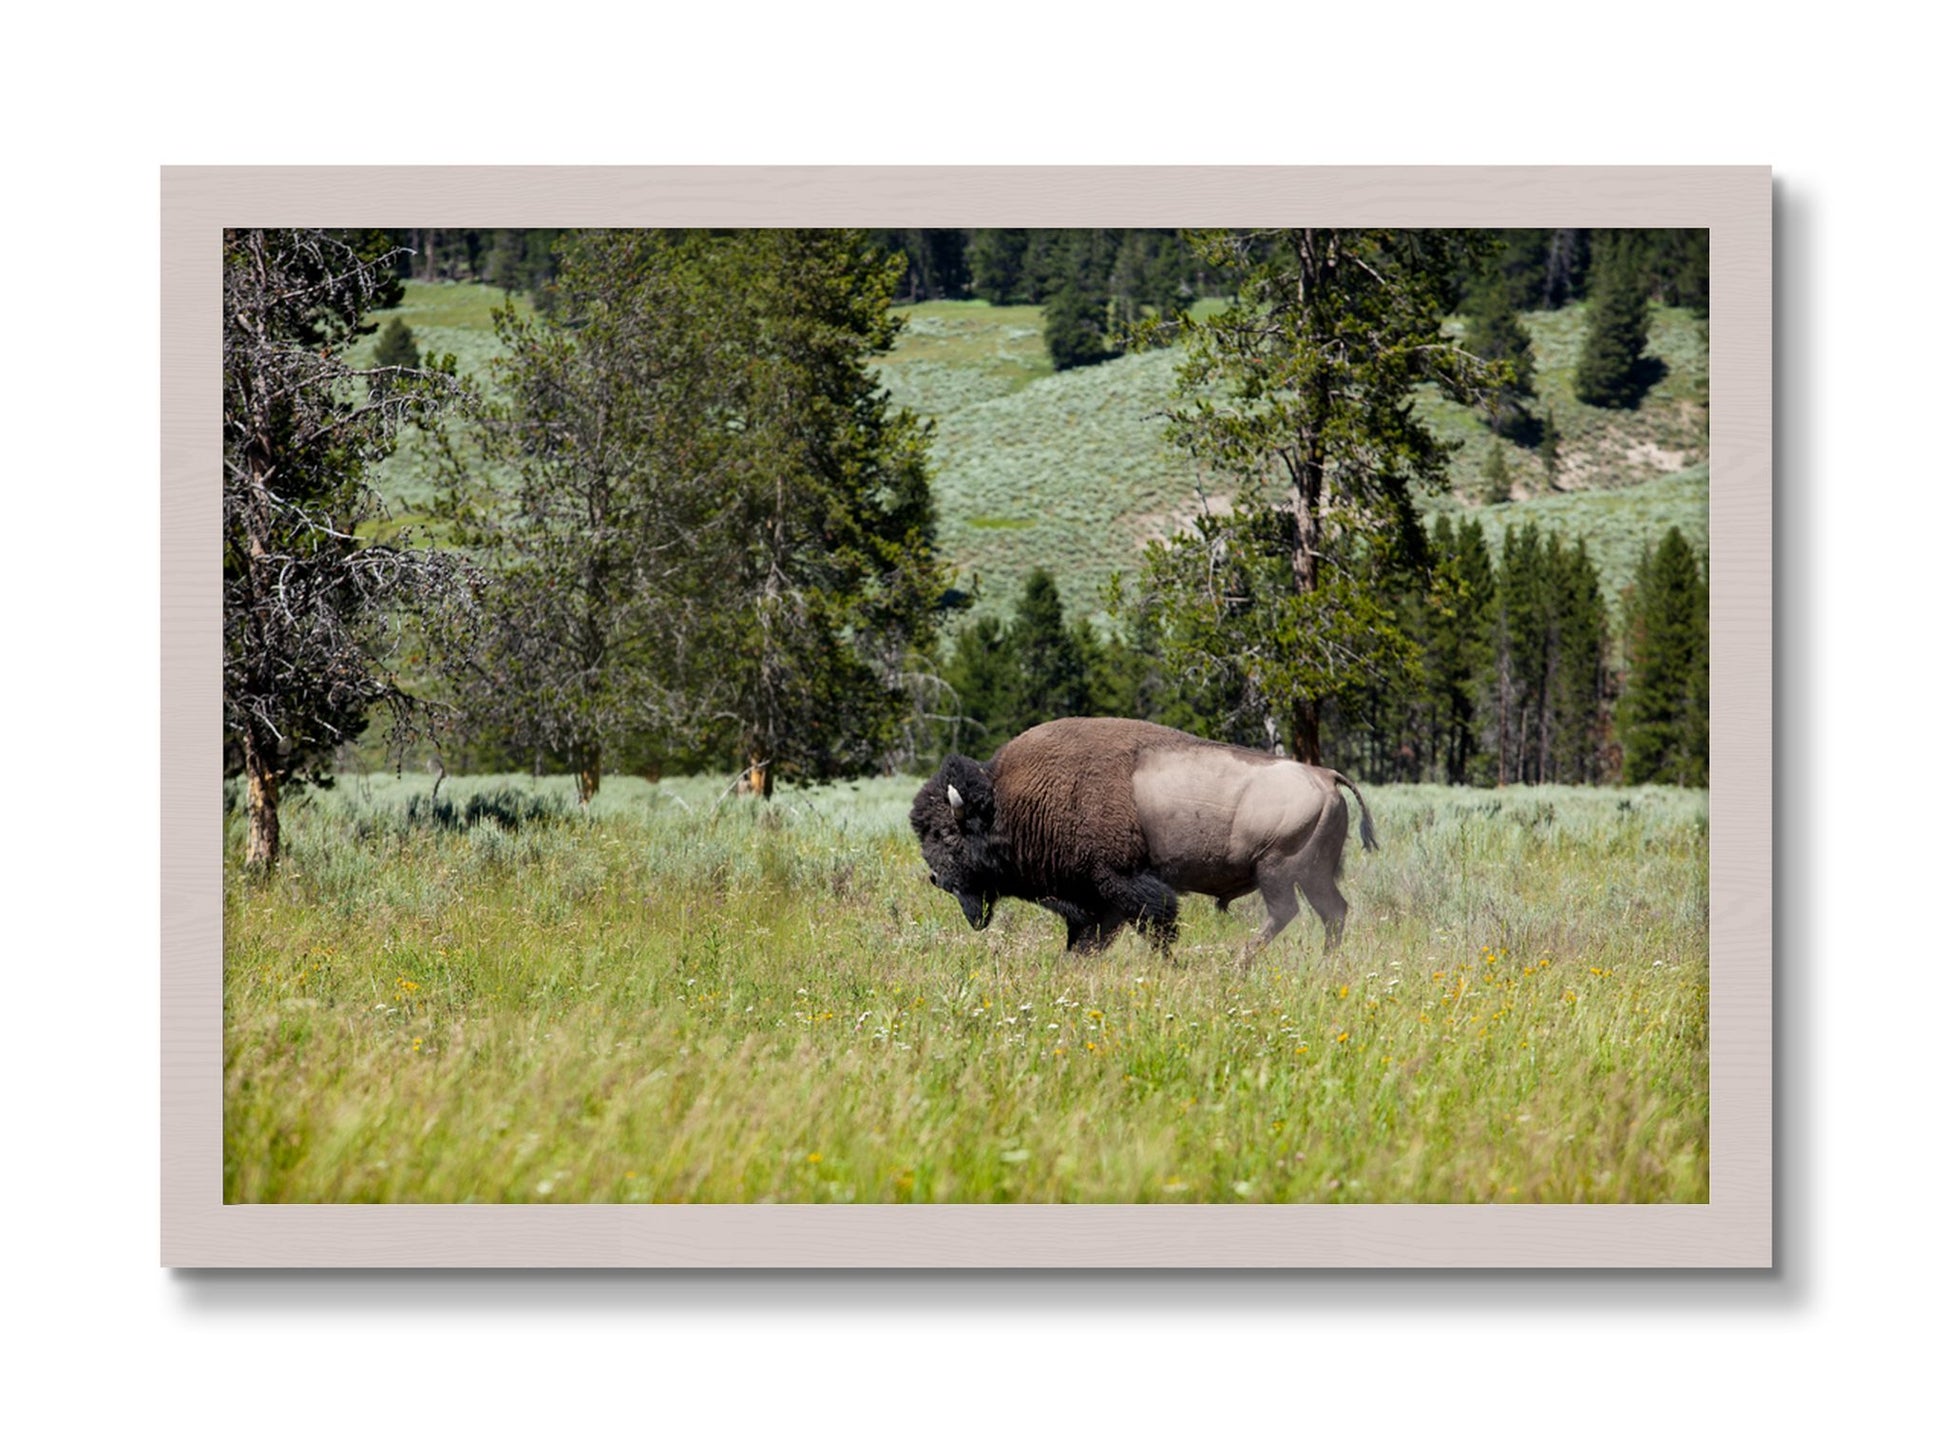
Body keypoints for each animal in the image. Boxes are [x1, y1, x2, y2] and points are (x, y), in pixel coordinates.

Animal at [909, 717, 1377, 957]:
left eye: (947, 835)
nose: (937, 878)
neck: (1009, 801)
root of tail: (1325, 775)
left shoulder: (1122, 884)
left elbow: (1156, 926)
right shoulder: (1095, 901)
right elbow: (1088, 941)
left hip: (1277, 870)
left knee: (1286, 913)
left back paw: (1239, 963)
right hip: (1313, 875)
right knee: (1333, 912)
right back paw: (1324, 962)